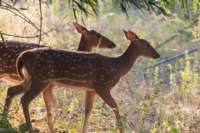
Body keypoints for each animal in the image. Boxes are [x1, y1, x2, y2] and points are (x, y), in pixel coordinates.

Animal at [3, 30, 159, 133]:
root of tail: (24, 56)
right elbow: (115, 107)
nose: (157, 55)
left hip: (32, 79)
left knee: (12, 90)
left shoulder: (91, 89)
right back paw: (29, 127)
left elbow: (88, 111)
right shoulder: (102, 85)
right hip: (41, 78)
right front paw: (121, 129)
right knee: (25, 99)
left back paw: (6, 120)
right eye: (147, 44)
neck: (117, 67)